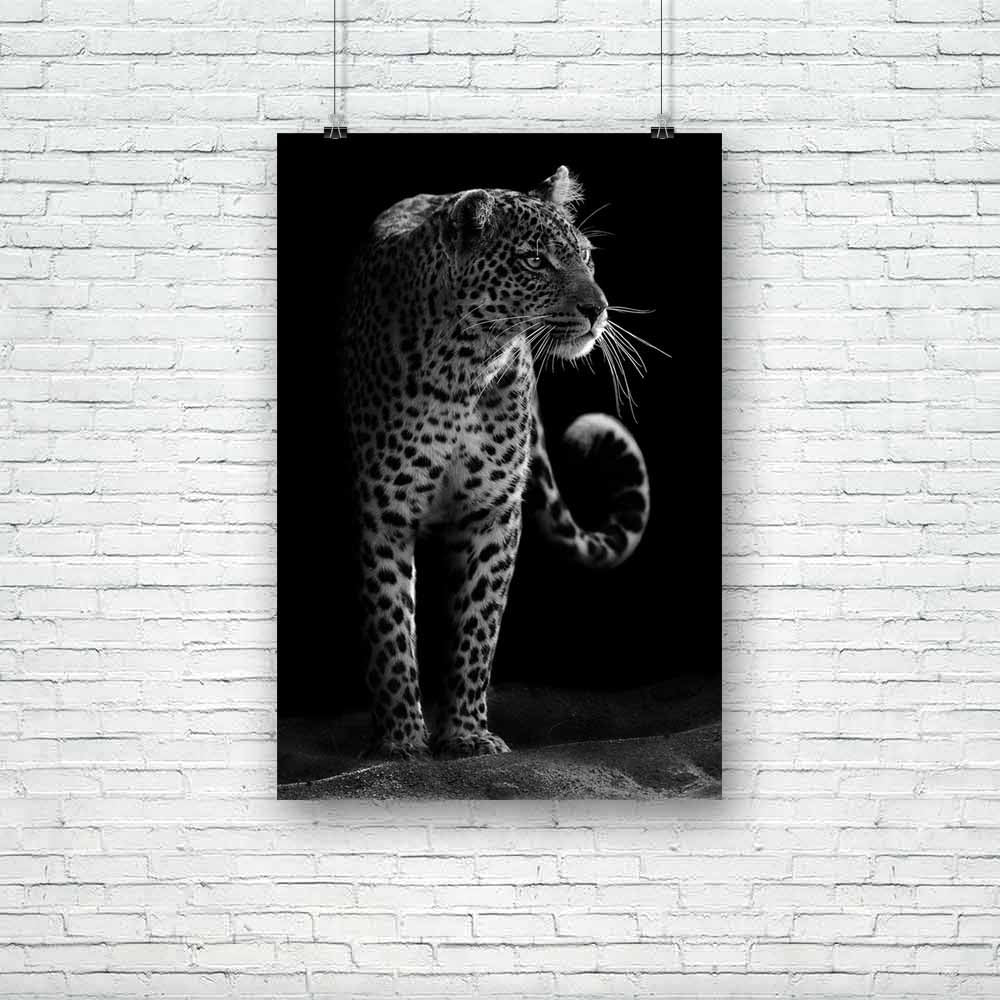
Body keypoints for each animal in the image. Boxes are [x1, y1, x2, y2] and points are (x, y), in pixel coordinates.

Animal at [340, 165, 651, 759]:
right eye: (535, 261)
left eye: (585, 257)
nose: (598, 309)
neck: (464, 366)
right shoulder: (384, 511)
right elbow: (390, 628)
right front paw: (401, 740)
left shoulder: (493, 514)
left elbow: (477, 627)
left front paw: (465, 733)